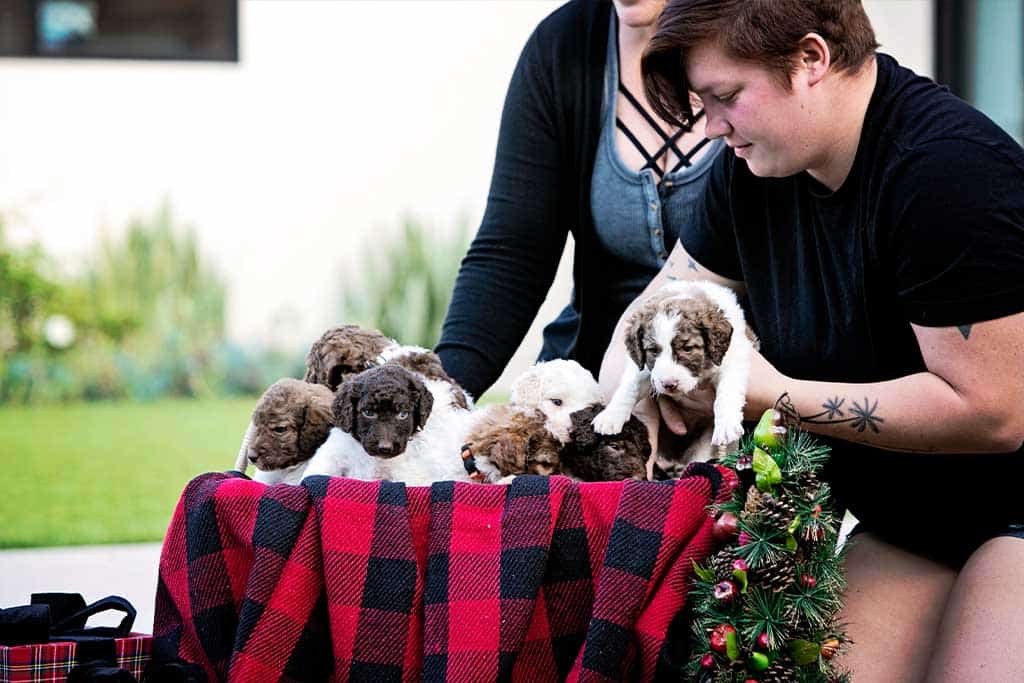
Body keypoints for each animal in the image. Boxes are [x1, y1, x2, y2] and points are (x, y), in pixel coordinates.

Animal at [589, 278, 757, 464]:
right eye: (653, 350)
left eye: (688, 348)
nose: (669, 384)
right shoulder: (644, 368)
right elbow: (629, 386)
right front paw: (611, 416)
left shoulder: (733, 357)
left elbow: (728, 389)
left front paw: (726, 424)